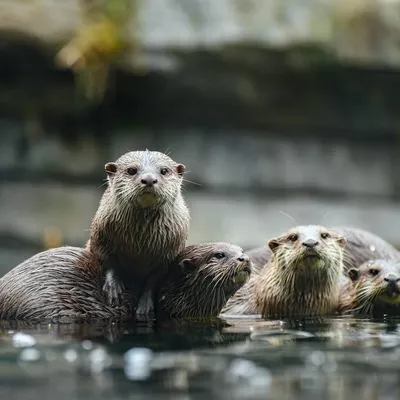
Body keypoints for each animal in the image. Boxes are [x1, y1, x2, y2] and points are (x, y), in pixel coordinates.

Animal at [86, 150, 190, 316]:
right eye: (131, 170)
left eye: (164, 171)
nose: (149, 179)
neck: (139, 246)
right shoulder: (100, 236)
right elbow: (108, 261)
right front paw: (113, 288)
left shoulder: (169, 253)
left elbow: (154, 279)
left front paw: (145, 305)